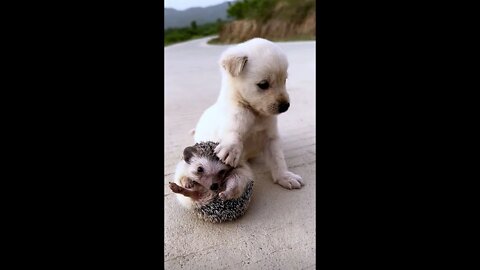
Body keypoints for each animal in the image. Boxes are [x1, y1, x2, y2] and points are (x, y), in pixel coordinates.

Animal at [192, 37, 302, 198]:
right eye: (263, 84)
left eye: (284, 80)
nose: (285, 106)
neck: (255, 113)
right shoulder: (233, 119)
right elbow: (233, 131)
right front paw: (231, 148)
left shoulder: (271, 138)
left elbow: (278, 159)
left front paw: (285, 176)